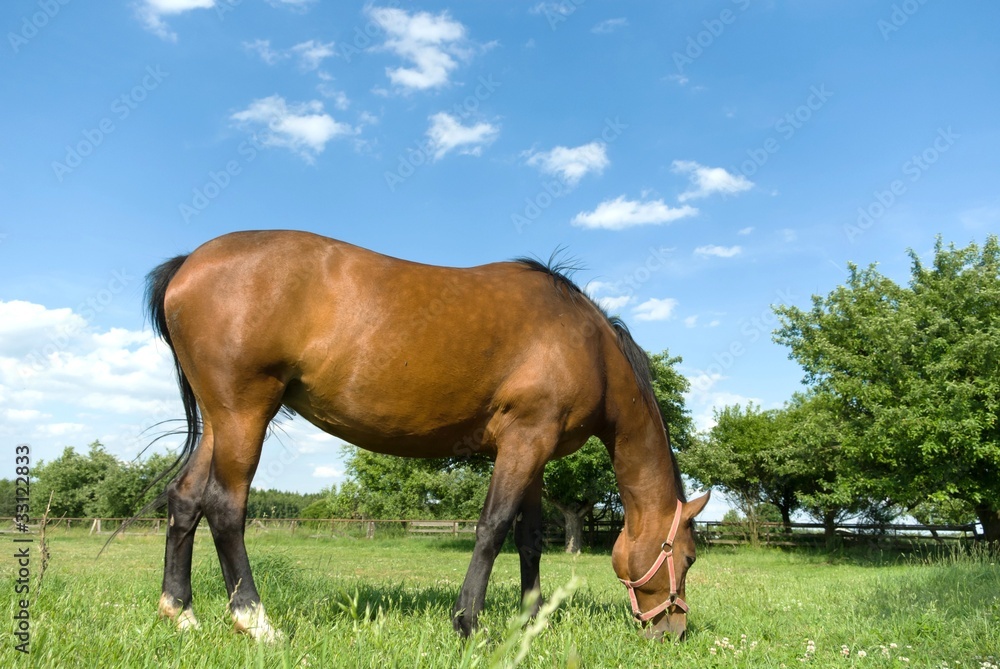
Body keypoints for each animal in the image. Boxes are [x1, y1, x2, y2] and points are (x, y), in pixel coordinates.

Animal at [146, 229, 709, 642]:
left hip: (222, 421)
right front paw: (468, 624)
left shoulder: (534, 450)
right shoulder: (525, 440)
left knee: (185, 499)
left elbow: (528, 539)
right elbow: (492, 529)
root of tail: (189, 264)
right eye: (688, 557)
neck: (588, 345)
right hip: (245, 413)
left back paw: (181, 612)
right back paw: (255, 621)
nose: (674, 631)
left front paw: (529, 622)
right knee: (225, 507)